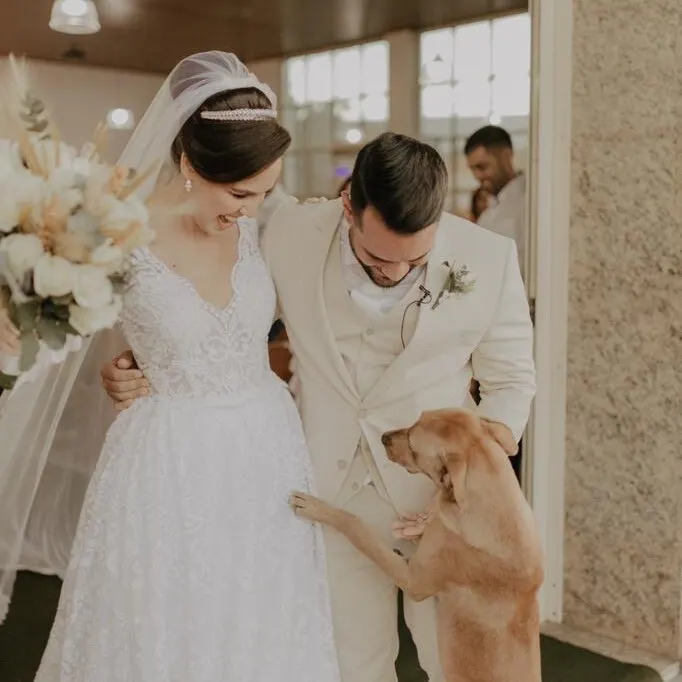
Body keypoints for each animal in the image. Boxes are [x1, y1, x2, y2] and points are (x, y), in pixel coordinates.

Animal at [290, 410, 544, 680]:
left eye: (413, 445)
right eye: (417, 418)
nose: (383, 437)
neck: (496, 505)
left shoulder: (413, 580)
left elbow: (358, 526)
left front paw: (318, 508)